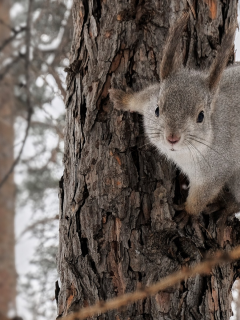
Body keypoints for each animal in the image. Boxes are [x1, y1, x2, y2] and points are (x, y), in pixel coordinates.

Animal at [109, 13, 240, 216]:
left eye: (201, 116)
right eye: (157, 110)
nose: (172, 138)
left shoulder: (215, 171)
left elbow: (199, 200)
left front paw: (186, 212)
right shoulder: (150, 98)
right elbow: (140, 98)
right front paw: (123, 98)